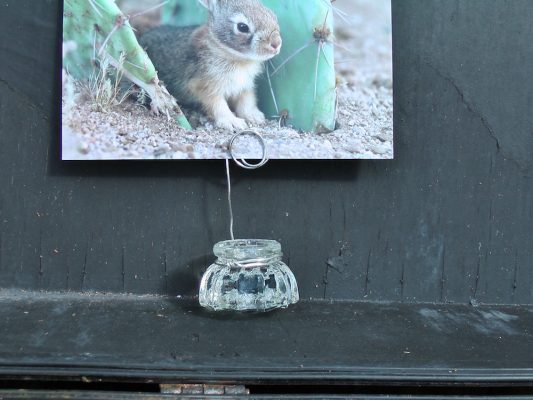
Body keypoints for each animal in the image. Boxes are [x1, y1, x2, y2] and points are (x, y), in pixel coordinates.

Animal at [141, 0, 282, 130]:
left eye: (272, 15)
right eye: (242, 27)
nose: (276, 43)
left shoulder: (244, 86)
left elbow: (246, 101)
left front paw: (255, 117)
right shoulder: (206, 87)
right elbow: (218, 105)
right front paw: (233, 122)